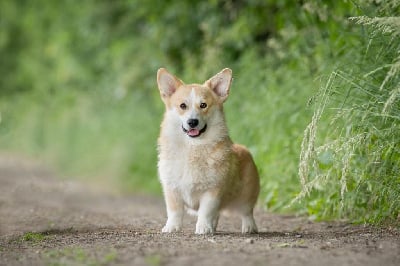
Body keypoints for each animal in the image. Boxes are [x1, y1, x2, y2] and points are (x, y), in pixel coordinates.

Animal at [156, 67, 260, 234]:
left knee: (246, 212)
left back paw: (249, 227)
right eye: (183, 106)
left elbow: (206, 211)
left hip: (247, 194)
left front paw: (203, 228)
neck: (192, 147)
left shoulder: (212, 191)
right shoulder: (172, 189)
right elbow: (174, 211)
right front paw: (171, 227)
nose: (192, 122)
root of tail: (244, 148)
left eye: (203, 105)